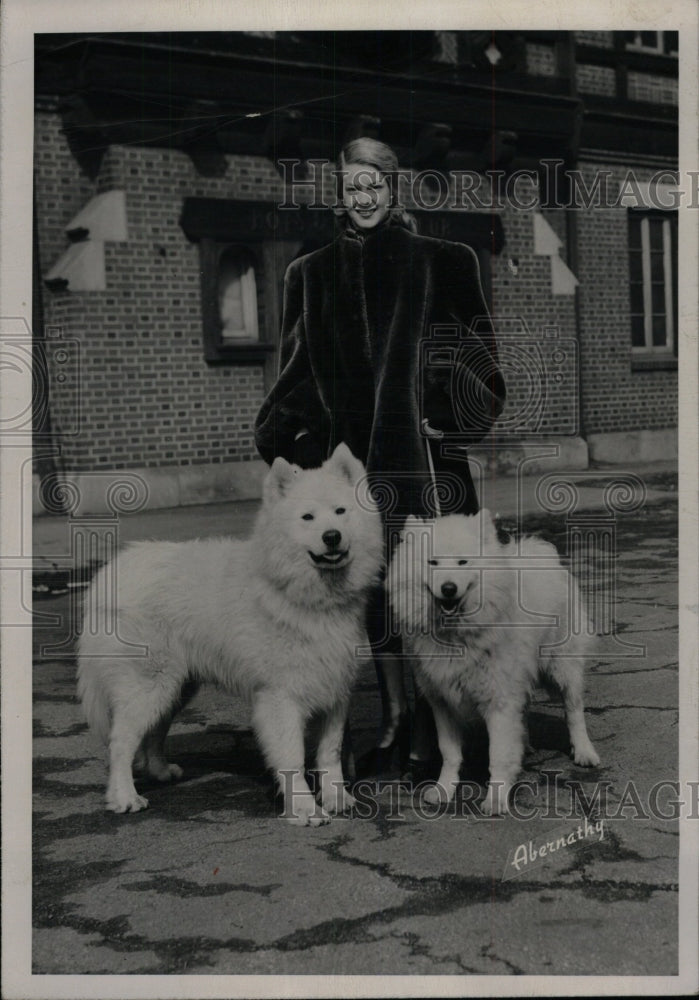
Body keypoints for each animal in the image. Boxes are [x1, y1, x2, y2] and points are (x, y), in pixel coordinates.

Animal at [388, 512, 600, 816]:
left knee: (574, 711)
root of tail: (537, 551)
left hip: (561, 668)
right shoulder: (443, 702)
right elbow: (449, 753)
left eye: (463, 562)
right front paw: (444, 789)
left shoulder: (498, 700)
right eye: (433, 562)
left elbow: (497, 754)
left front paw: (496, 798)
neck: (455, 634)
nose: (448, 588)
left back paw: (584, 752)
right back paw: (525, 744)